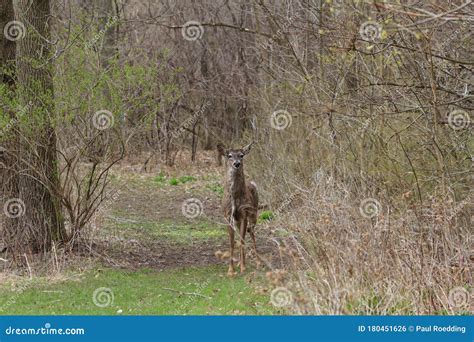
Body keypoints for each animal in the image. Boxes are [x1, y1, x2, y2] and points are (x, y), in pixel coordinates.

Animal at [223, 141, 260, 276]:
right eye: (229, 155)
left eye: (241, 155)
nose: (237, 163)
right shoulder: (228, 216)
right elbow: (232, 243)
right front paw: (231, 270)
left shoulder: (244, 214)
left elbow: (242, 241)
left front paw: (243, 268)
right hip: (238, 220)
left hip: (254, 214)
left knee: (251, 232)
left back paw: (258, 262)